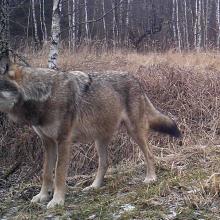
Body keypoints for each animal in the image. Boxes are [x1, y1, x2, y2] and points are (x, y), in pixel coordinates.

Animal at [0, 61, 180, 208]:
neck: (43, 95)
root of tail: (135, 79)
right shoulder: (48, 142)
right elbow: (46, 173)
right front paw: (42, 196)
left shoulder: (63, 141)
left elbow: (59, 174)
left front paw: (57, 201)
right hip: (99, 140)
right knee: (105, 163)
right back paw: (94, 186)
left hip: (134, 131)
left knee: (150, 154)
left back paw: (151, 178)